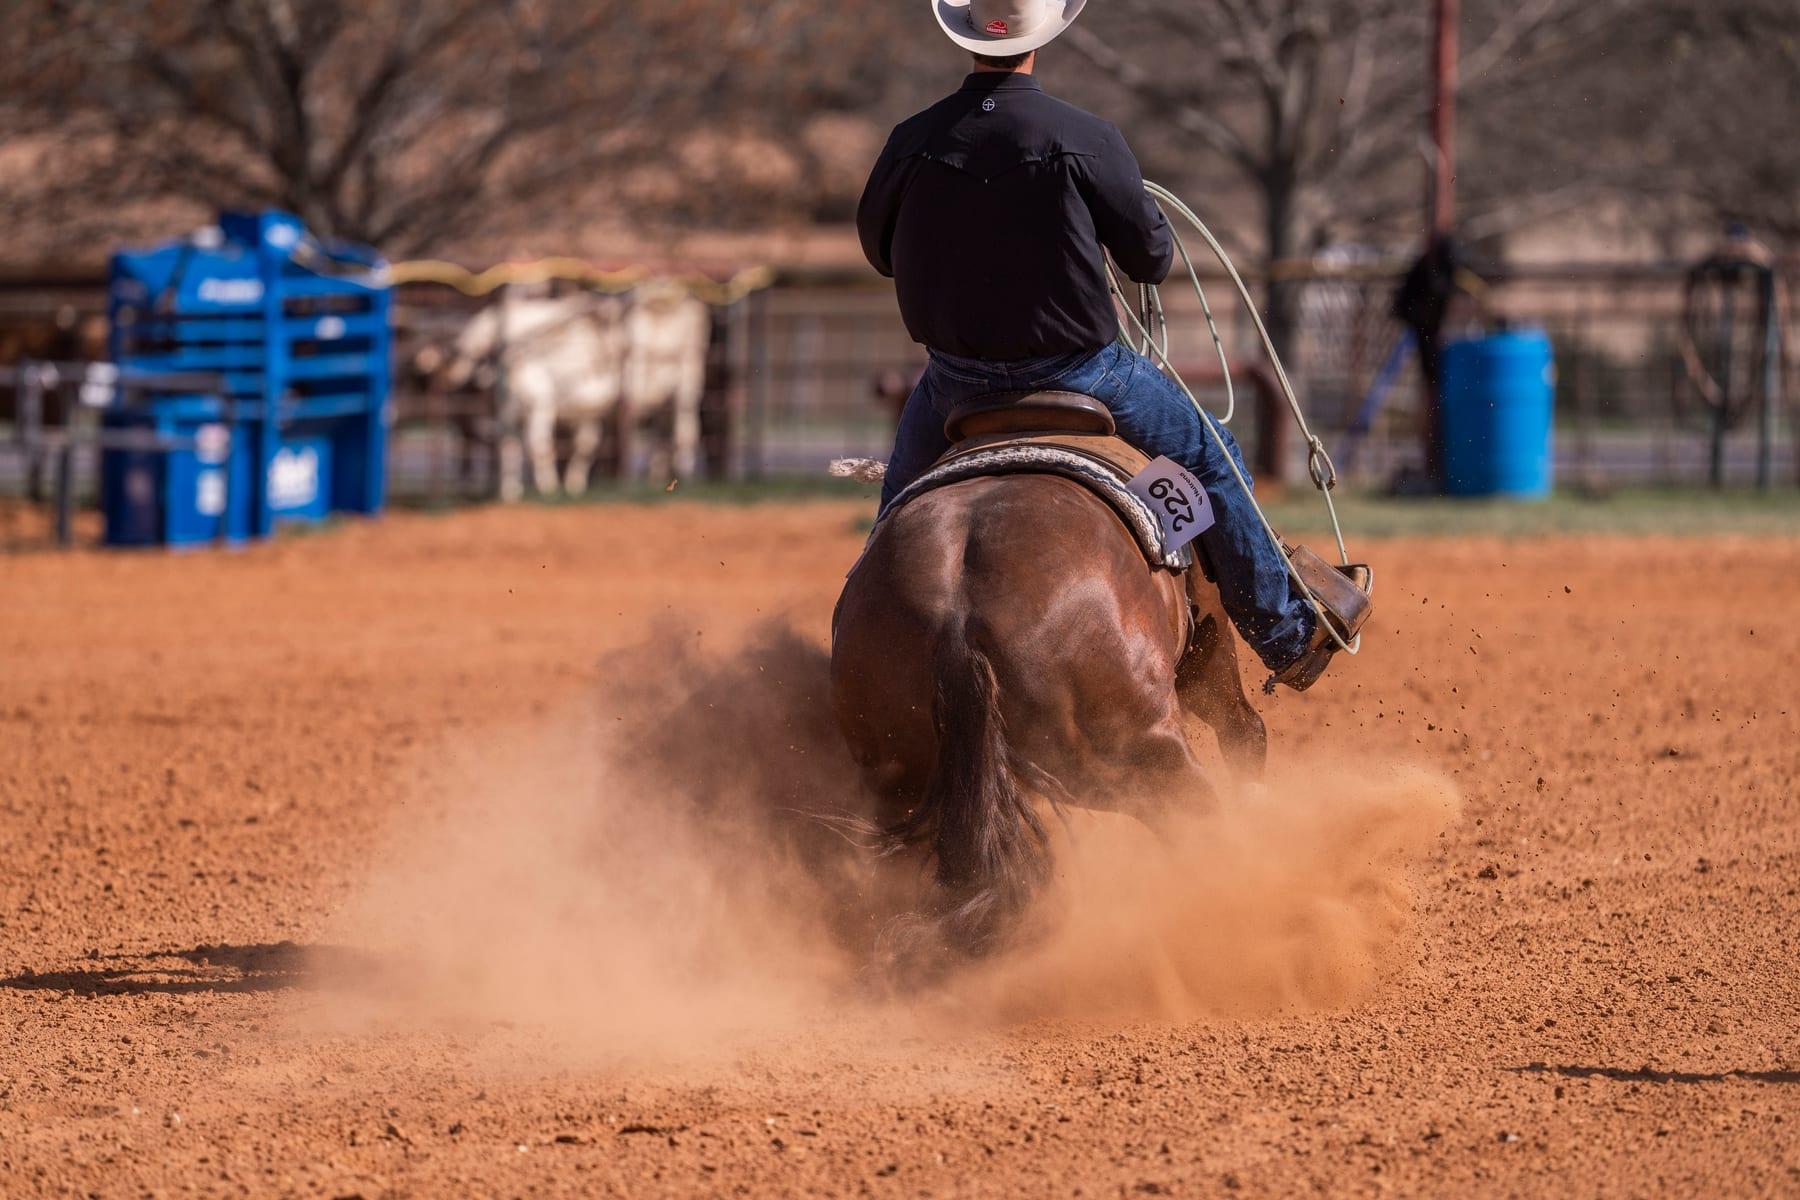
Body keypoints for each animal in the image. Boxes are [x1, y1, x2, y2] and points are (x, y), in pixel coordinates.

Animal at [830, 424, 1268, 955]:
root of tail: (956, 611)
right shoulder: (1207, 641)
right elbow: (1240, 726)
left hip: (902, 779)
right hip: (1140, 752)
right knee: (1204, 806)